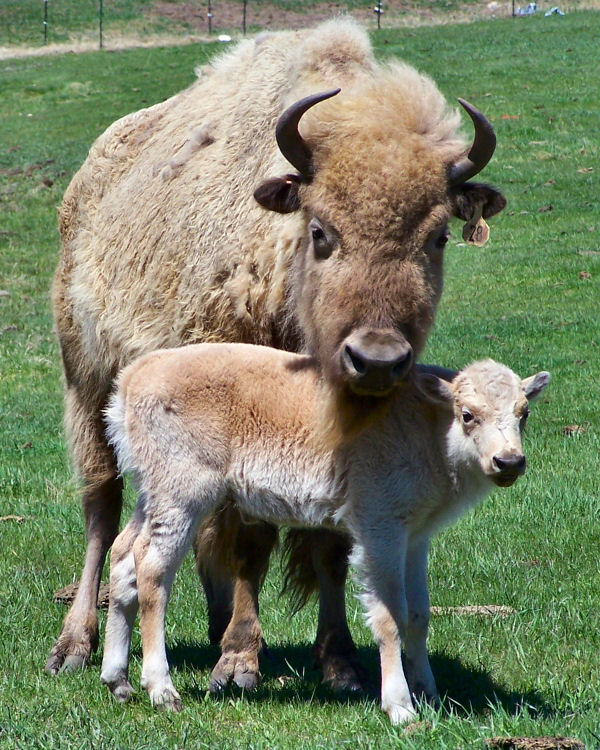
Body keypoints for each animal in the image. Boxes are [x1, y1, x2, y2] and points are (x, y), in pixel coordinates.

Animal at [48, 19, 506, 688]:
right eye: (321, 231)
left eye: (439, 236)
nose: (377, 360)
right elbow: (252, 538)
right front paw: (240, 660)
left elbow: (329, 546)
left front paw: (338, 660)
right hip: (87, 383)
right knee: (102, 510)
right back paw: (76, 645)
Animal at [98, 344, 548, 724]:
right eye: (468, 414)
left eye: (524, 412)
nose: (509, 461)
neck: (428, 423)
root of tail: (132, 378)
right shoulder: (379, 528)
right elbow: (390, 617)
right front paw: (400, 707)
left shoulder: (415, 536)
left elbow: (418, 615)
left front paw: (430, 695)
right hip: (181, 493)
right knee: (153, 570)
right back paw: (161, 690)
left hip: (151, 493)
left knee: (124, 556)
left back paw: (117, 681)